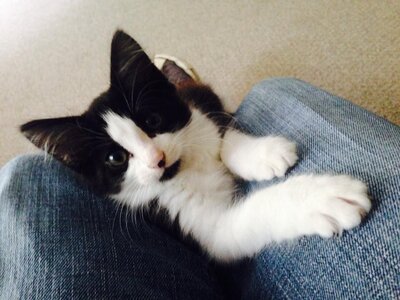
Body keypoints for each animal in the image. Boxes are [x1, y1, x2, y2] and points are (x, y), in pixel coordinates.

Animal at [21, 29, 372, 262]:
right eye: (116, 158)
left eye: (152, 120)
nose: (157, 158)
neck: (183, 170)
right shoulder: (184, 220)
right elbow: (238, 226)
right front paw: (321, 198)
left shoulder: (196, 99)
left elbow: (220, 129)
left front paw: (262, 155)